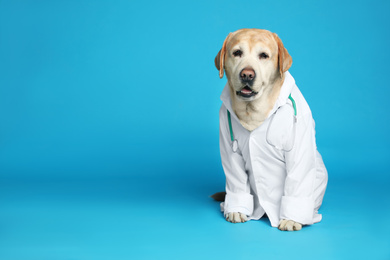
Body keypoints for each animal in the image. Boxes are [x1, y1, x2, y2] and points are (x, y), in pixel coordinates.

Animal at [215, 29, 328, 232]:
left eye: (264, 56)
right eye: (237, 53)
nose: (247, 75)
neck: (252, 111)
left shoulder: (299, 146)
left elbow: (297, 180)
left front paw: (290, 219)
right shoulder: (229, 150)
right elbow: (236, 180)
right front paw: (236, 210)